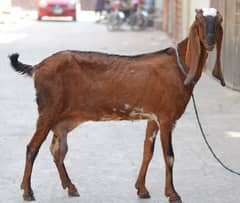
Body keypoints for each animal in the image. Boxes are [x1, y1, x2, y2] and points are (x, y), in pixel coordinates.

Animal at [9, 8, 225, 202]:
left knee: (57, 150)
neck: (180, 66)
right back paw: (28, 191)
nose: (210, 41)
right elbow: (169, 156)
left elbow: (147, 152)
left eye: (219, 21)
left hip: (62, 120)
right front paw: (172, 194)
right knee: (32, 147)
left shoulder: (153, 117)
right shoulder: (166, 118)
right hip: (47, 112)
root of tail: (37, 66)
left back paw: (70, 187)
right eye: (199, 21)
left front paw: (142, 189)